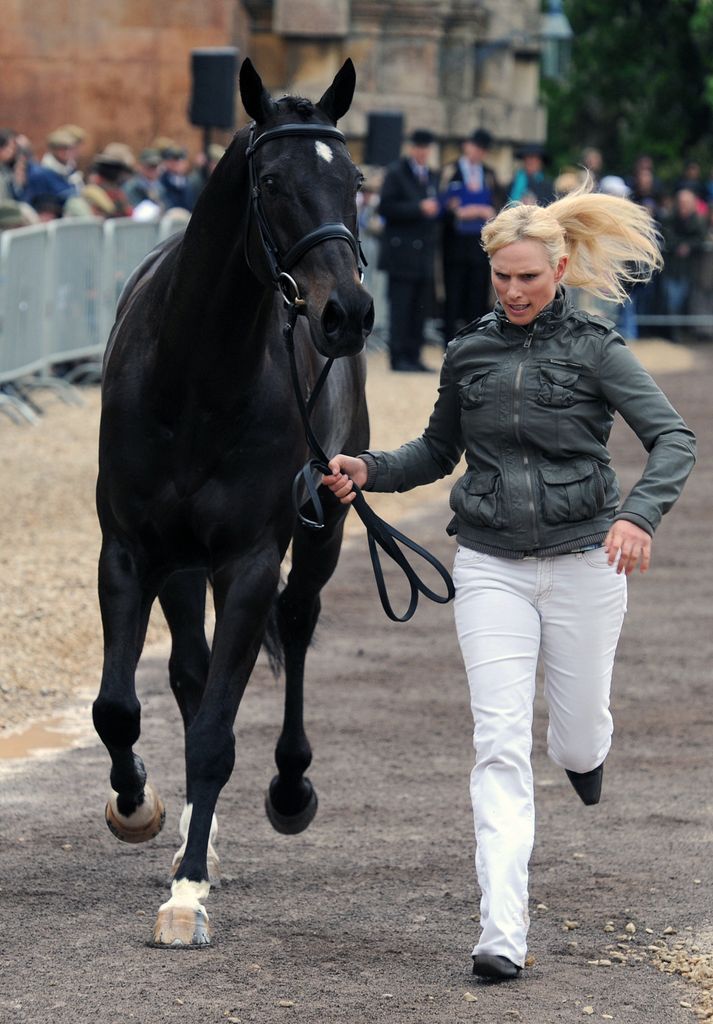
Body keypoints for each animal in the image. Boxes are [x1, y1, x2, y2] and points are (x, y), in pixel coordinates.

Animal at [91, 59, 376, 946]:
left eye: (353, 179)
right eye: (273, 181)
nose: (348, 312)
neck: (197, 377)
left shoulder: (250, 560)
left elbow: (218, 731)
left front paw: (184, 894)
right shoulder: (130, 550)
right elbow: (119, 706)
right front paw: (139, 807)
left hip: (323, 527)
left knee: (298, 625)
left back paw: (286, 789)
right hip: (184, 564)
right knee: (187, 671)